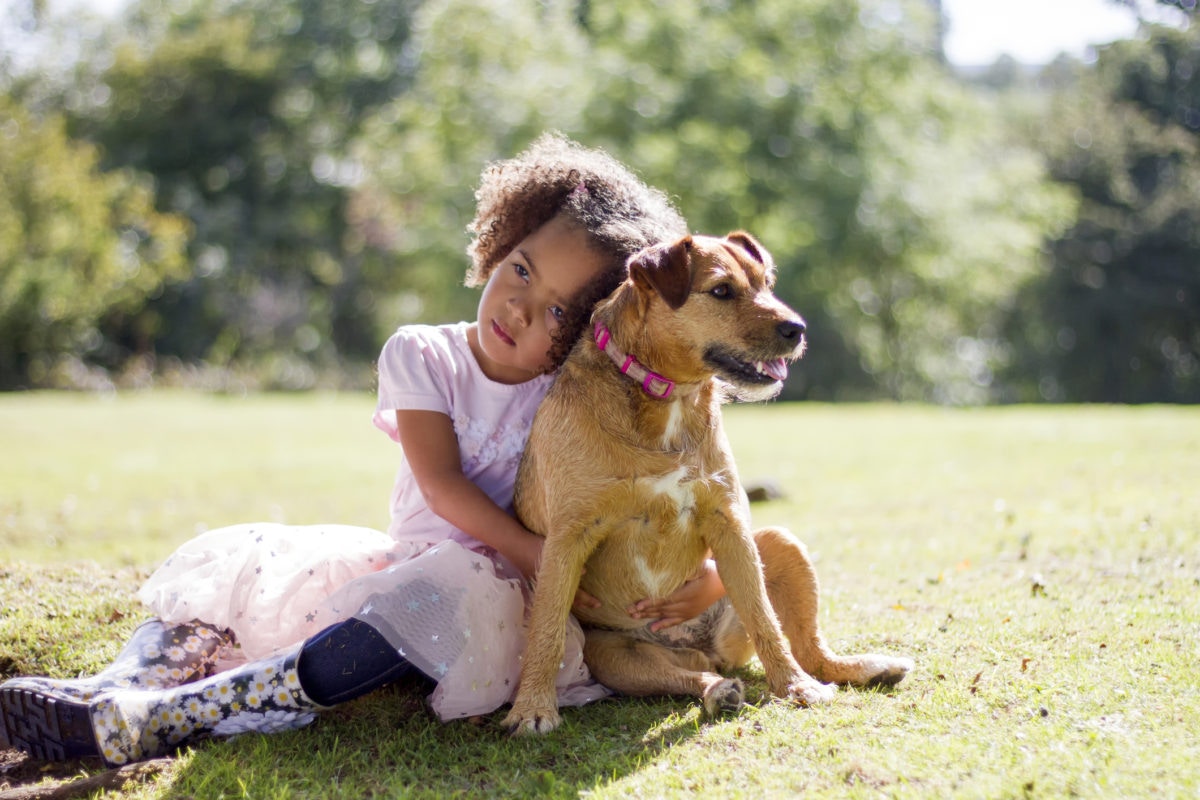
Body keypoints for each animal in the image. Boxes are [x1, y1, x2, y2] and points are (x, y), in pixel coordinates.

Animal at [504, 227, 907, 734]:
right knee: (689, 676)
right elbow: (547, 629)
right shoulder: (567, 539)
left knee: (808, 648)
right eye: (721, 291)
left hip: (780, 544)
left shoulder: (728, 521)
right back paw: (719, 691)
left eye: (766, 284)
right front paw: (533, 708)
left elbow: (765, 618)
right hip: (612, 655)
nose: (797, 329)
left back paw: (860, 669)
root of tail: (700, 646)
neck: (667, 400)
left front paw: (794, 688)